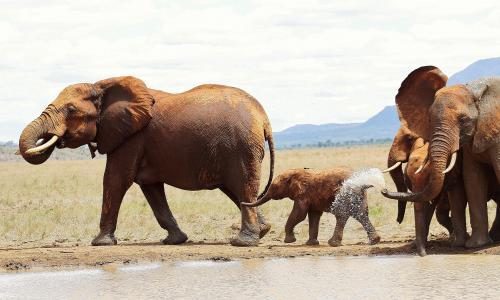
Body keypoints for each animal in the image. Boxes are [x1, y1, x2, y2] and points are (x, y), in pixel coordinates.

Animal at [17, 76, 276, 247]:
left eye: (70, 110)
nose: (55, 138)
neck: (103, 85)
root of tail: (263, 117)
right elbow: (151, 188)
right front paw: (174, 241)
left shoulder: (132, 138)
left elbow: (115, 179)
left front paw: (100, 243)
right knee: (237, 191)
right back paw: (262, 232)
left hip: (241, 147)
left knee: (243, 187)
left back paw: (243, 242)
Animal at [241, 166, 378, 246]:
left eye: (274, 187)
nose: (242, 202)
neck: (297, 173)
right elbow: (313, 216)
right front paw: (311, 243)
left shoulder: (303, 195)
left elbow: (299, 215)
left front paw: (290, 241)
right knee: (361, 215)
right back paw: (375, 241)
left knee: (342, 215)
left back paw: (333, 243)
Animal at [378, 66, 500, 248]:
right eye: (429, 120)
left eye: (463, 120)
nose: (383, 189)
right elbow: (472, 178)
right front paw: (472, 245)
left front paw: (469, 245)